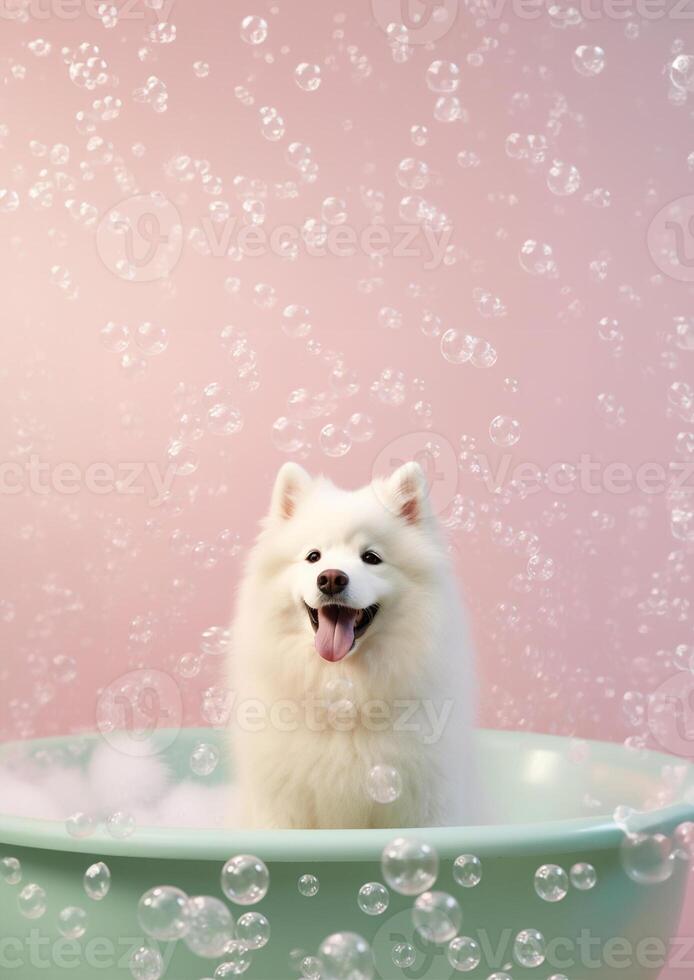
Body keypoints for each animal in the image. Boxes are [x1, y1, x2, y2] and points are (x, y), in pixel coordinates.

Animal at [228, 460, 478, 828]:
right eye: (313, 556)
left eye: (371, 558)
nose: (331, 578)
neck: (343, 691)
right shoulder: (280, 805)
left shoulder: (424, 804)